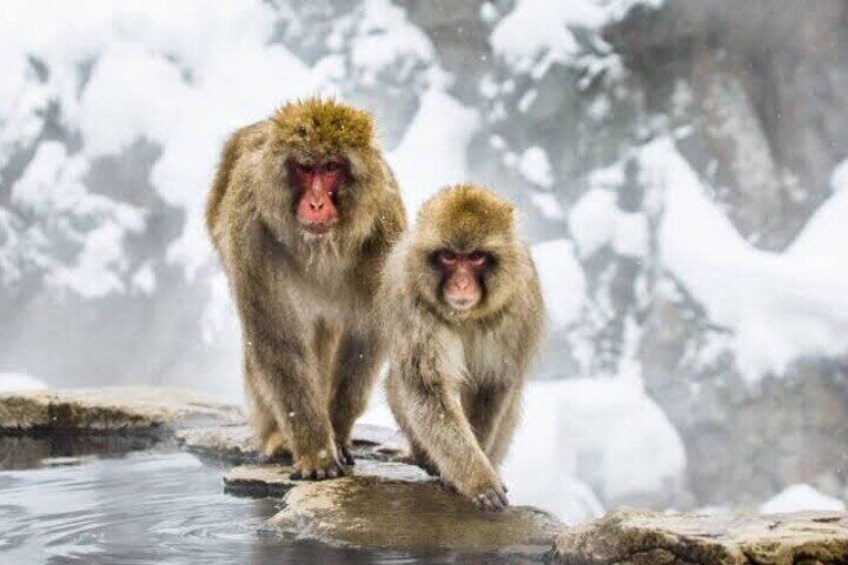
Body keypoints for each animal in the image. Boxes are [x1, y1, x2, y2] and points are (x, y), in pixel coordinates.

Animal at [205, 99, 404, 478]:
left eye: (331, 168)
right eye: (304, 168)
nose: (315, 204)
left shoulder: (383, 233)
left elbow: (365, 336)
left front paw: (336, 432)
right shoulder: (251, 233)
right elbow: (277, 338)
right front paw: (316, 450)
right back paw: (278, 438)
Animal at [380, 184, 544, 512]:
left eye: (476, 258)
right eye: (449, 257)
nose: (462, 285)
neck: (466, 316)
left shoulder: (517, 308)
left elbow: (493, 386)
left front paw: (483, 472)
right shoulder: (411, 303)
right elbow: (429, 391)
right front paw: (478, 481)